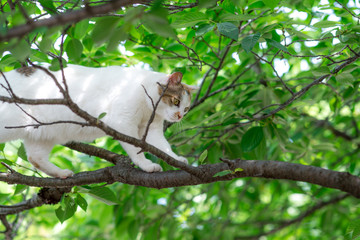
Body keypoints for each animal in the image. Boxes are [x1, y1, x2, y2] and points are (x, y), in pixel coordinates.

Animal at [0, 64, 197, 177]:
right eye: (176, 101)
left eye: (186, 108)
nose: (180, 116)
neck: (147, 107)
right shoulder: (123, 123)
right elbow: (136, 149)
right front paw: (146, 165)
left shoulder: (151, 131)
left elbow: (164, 147)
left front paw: (177, 160)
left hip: (44, 133)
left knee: (35, 157)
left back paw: (61, 174)